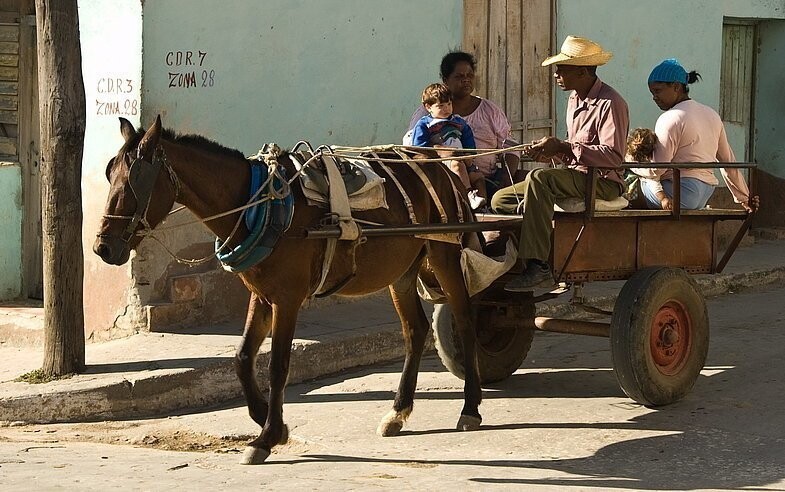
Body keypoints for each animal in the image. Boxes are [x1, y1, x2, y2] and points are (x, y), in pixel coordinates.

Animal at [95, 116, 480, 466]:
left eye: (134, 182)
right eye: (109, 175)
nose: (103, 248)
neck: (258, 204)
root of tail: (441, 167)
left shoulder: (288, 298)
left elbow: (278, 365)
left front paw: (266, 437)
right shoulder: (262, 294)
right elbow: (243, 358)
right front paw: (269, 421)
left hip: (443, 255)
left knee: (464, 319)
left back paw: (470, 407)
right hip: (402, 271)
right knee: (415, 330)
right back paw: (398, 412)